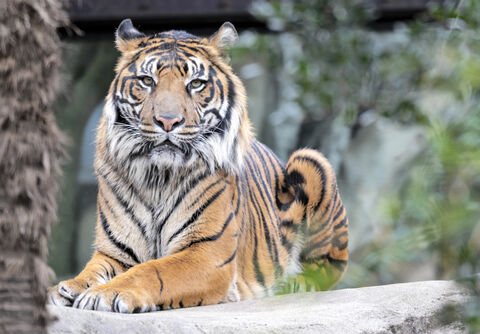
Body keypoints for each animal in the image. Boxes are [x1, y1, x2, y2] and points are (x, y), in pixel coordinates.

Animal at [47, 18, 348, 314]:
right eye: (147, 81)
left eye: (195, 84)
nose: (168, 121)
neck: (157, 177)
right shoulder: (114, 251)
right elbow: (92, 270)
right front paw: (66, 288)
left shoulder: (208, 254)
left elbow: (152, 270)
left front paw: (106, 293)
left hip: (310, 161)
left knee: (328, 270)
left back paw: (295, 283)